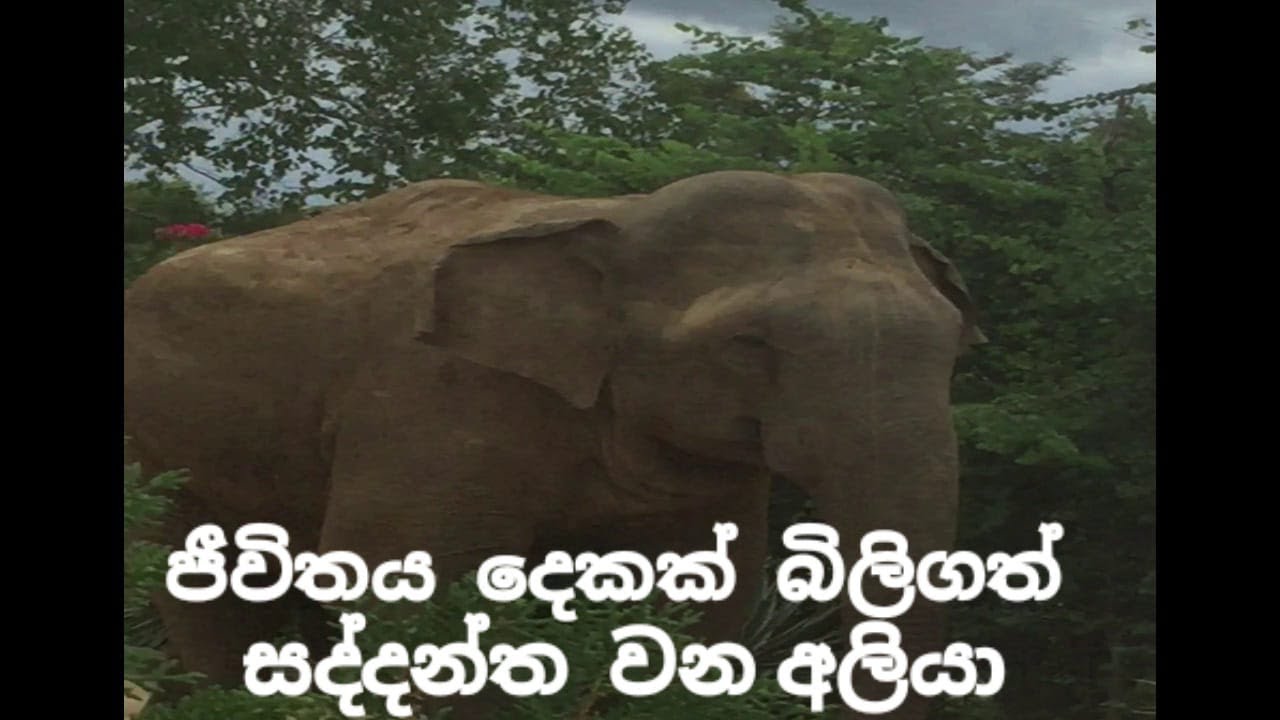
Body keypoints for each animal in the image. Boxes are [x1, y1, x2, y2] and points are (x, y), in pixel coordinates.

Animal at [124, 169, 986, 719]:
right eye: (750, 346)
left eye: (954, 346)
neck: (616, 215)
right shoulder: (433, 401)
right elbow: (410, 581)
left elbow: (697, 597)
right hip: (159, 446)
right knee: (206, 586)